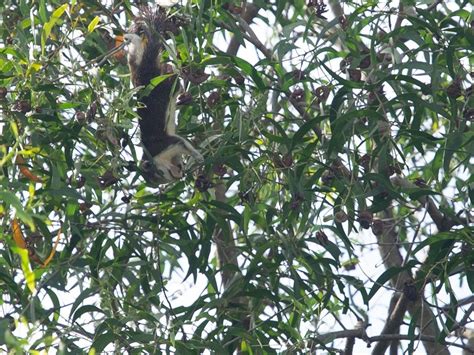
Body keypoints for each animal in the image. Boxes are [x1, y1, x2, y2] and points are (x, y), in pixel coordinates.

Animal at [123, 6, 203, 185]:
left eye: (159, 173)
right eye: (160, 178)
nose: (177, 175)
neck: (152, 155)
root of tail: (145, 77)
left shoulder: (166, 145)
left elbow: (182, 143)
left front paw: (198, 158)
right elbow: (179, 155)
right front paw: (183, 165)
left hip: (164, 84)